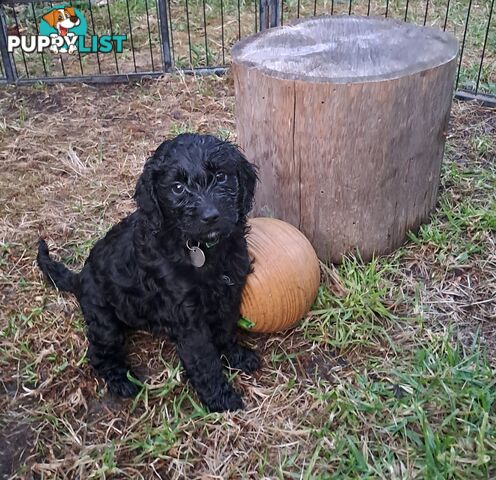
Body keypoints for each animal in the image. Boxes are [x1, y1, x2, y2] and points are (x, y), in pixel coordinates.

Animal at [37, 133, 262, 410]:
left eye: (221, 176)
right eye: (178, 188)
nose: (211, 216)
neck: (201, 249)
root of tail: (79, 277)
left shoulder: (228, 295)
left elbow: (225, 330)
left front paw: (237, 357)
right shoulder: (189, 319)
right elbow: (204, 360)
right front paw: (222, 399)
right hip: (105, 321)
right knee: (98, 353)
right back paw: (121, 381)